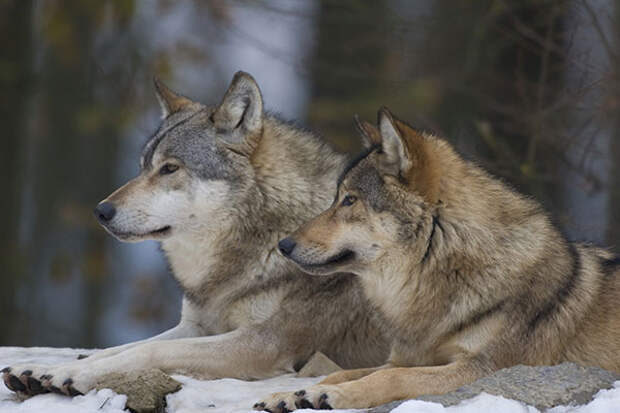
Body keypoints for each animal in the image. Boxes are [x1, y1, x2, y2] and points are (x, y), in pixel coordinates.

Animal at [0, 71, 388, 396]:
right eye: (143, 167)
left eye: (170, 168)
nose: (101, 211)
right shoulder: (197, 327)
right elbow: (123, 348)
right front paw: (42, 369)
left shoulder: (263, 343)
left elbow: (151, 350)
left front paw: (73, 375)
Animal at [254, 108, 620, 410]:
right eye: (337, 198)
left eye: (349, 200)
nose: (284, 245)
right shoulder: (406, 357)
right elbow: (341, 373)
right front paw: (290, 395)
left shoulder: (485, 368)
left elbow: (388, 378)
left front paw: (332, 396)